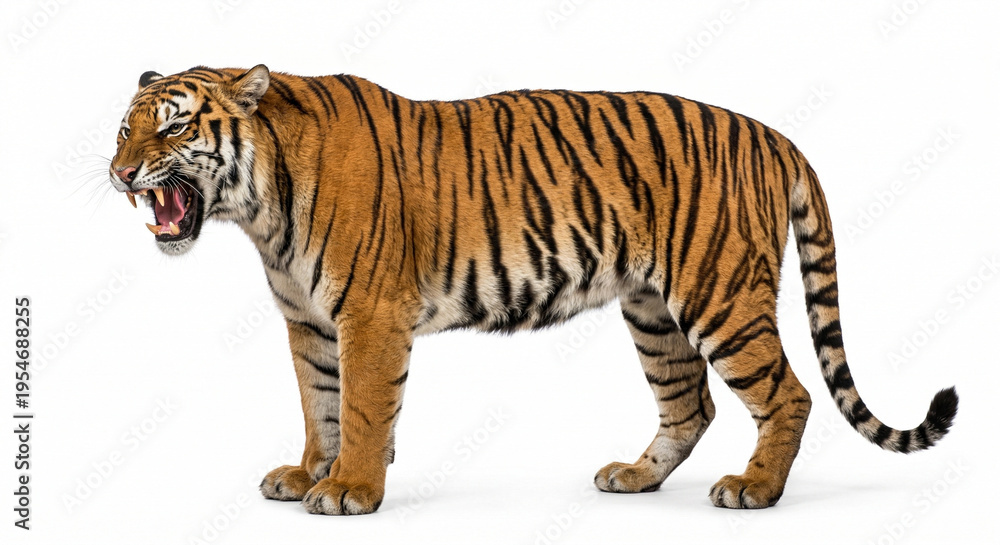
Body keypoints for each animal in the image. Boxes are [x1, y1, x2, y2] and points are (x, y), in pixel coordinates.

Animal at [107, 65, 958, 515]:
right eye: (125, 128)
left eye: (175, 127)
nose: (119, 174)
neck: (260, 207)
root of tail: (773, 133)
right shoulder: (308, 322)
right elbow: (319, 402)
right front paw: (308, 472)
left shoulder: (369, 314)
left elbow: (363, 404)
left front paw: (350, 487)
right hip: (654, 310)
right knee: (691, 404)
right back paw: (635, 476)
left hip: (720, 295)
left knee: (789, 393)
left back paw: (754, 487)